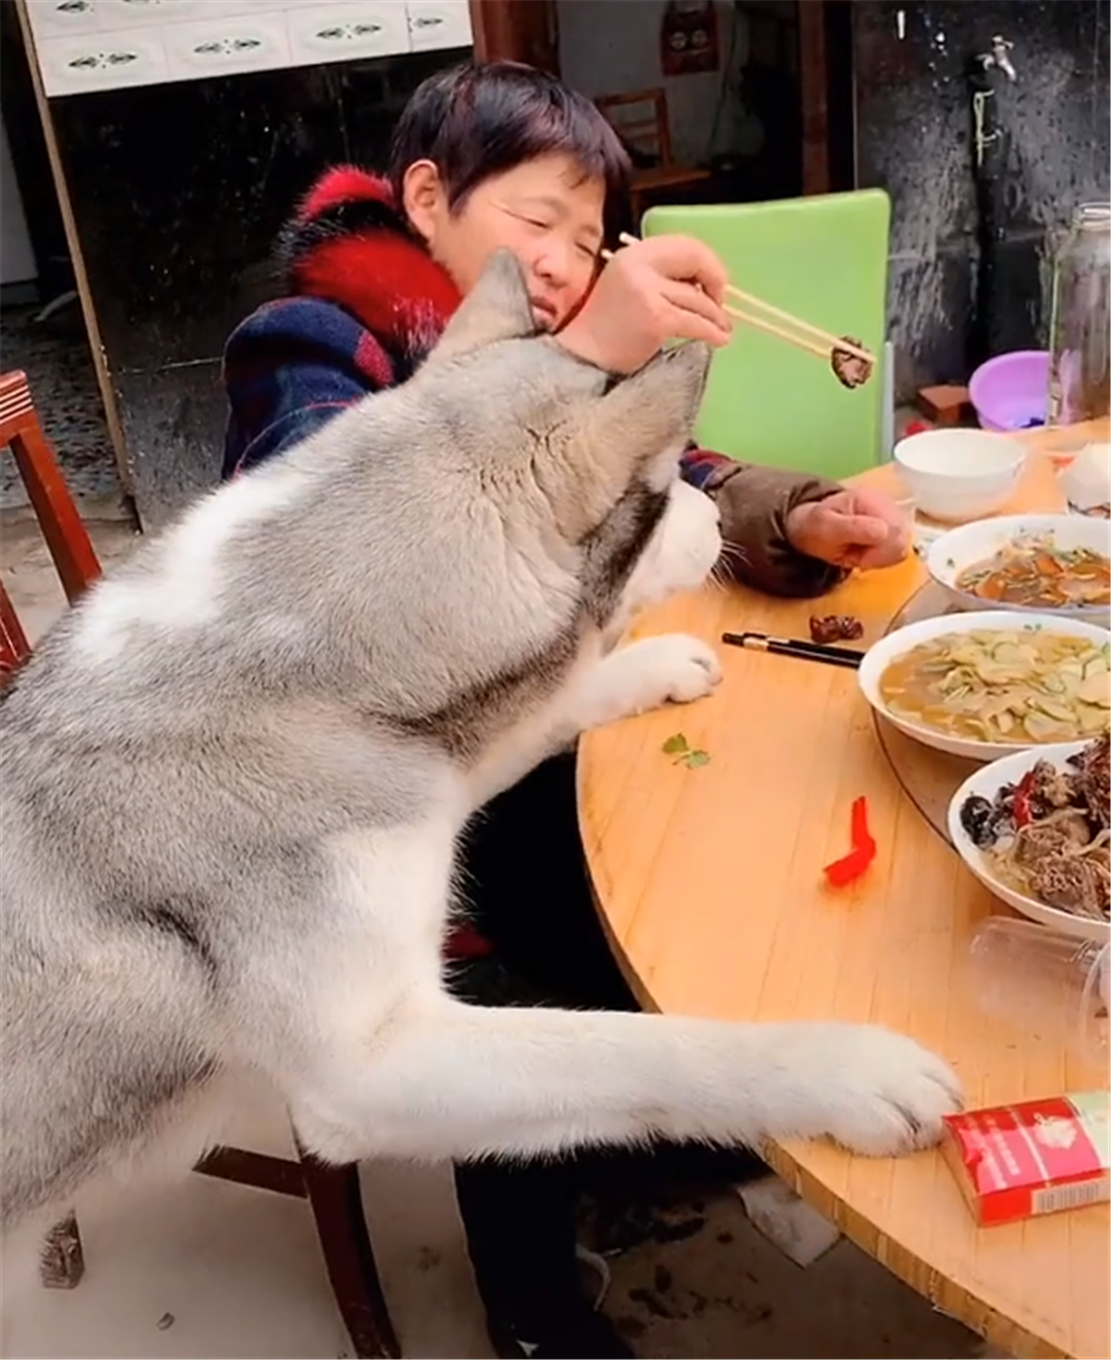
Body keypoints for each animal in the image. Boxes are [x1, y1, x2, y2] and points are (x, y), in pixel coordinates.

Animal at [0, 252, 951, 1294]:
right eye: (665, 489)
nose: (712, 509)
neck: (306, 682)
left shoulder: (443, 773)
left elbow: (546, 711)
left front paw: (651, 668)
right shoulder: (374, 1071)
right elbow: (636, 1048)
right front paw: (838, 1071)